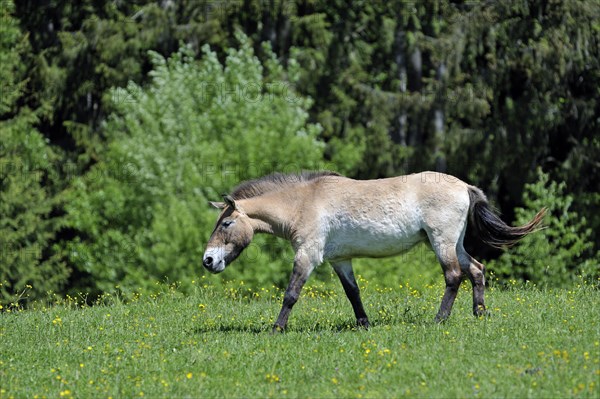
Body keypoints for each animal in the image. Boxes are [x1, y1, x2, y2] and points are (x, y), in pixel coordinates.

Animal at [204, 173, 548, 332]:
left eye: (227, 223)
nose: (208, 260)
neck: (303, 202)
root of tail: (464, 186)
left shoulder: (308, 255)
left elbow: (291, 293)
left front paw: (277, 328)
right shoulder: (340, 260)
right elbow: (353, 293)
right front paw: (364, 324)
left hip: (441, 242)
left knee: (453, 275)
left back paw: (439, 319)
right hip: (454, 242)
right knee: (475, 269)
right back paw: (479, 313)